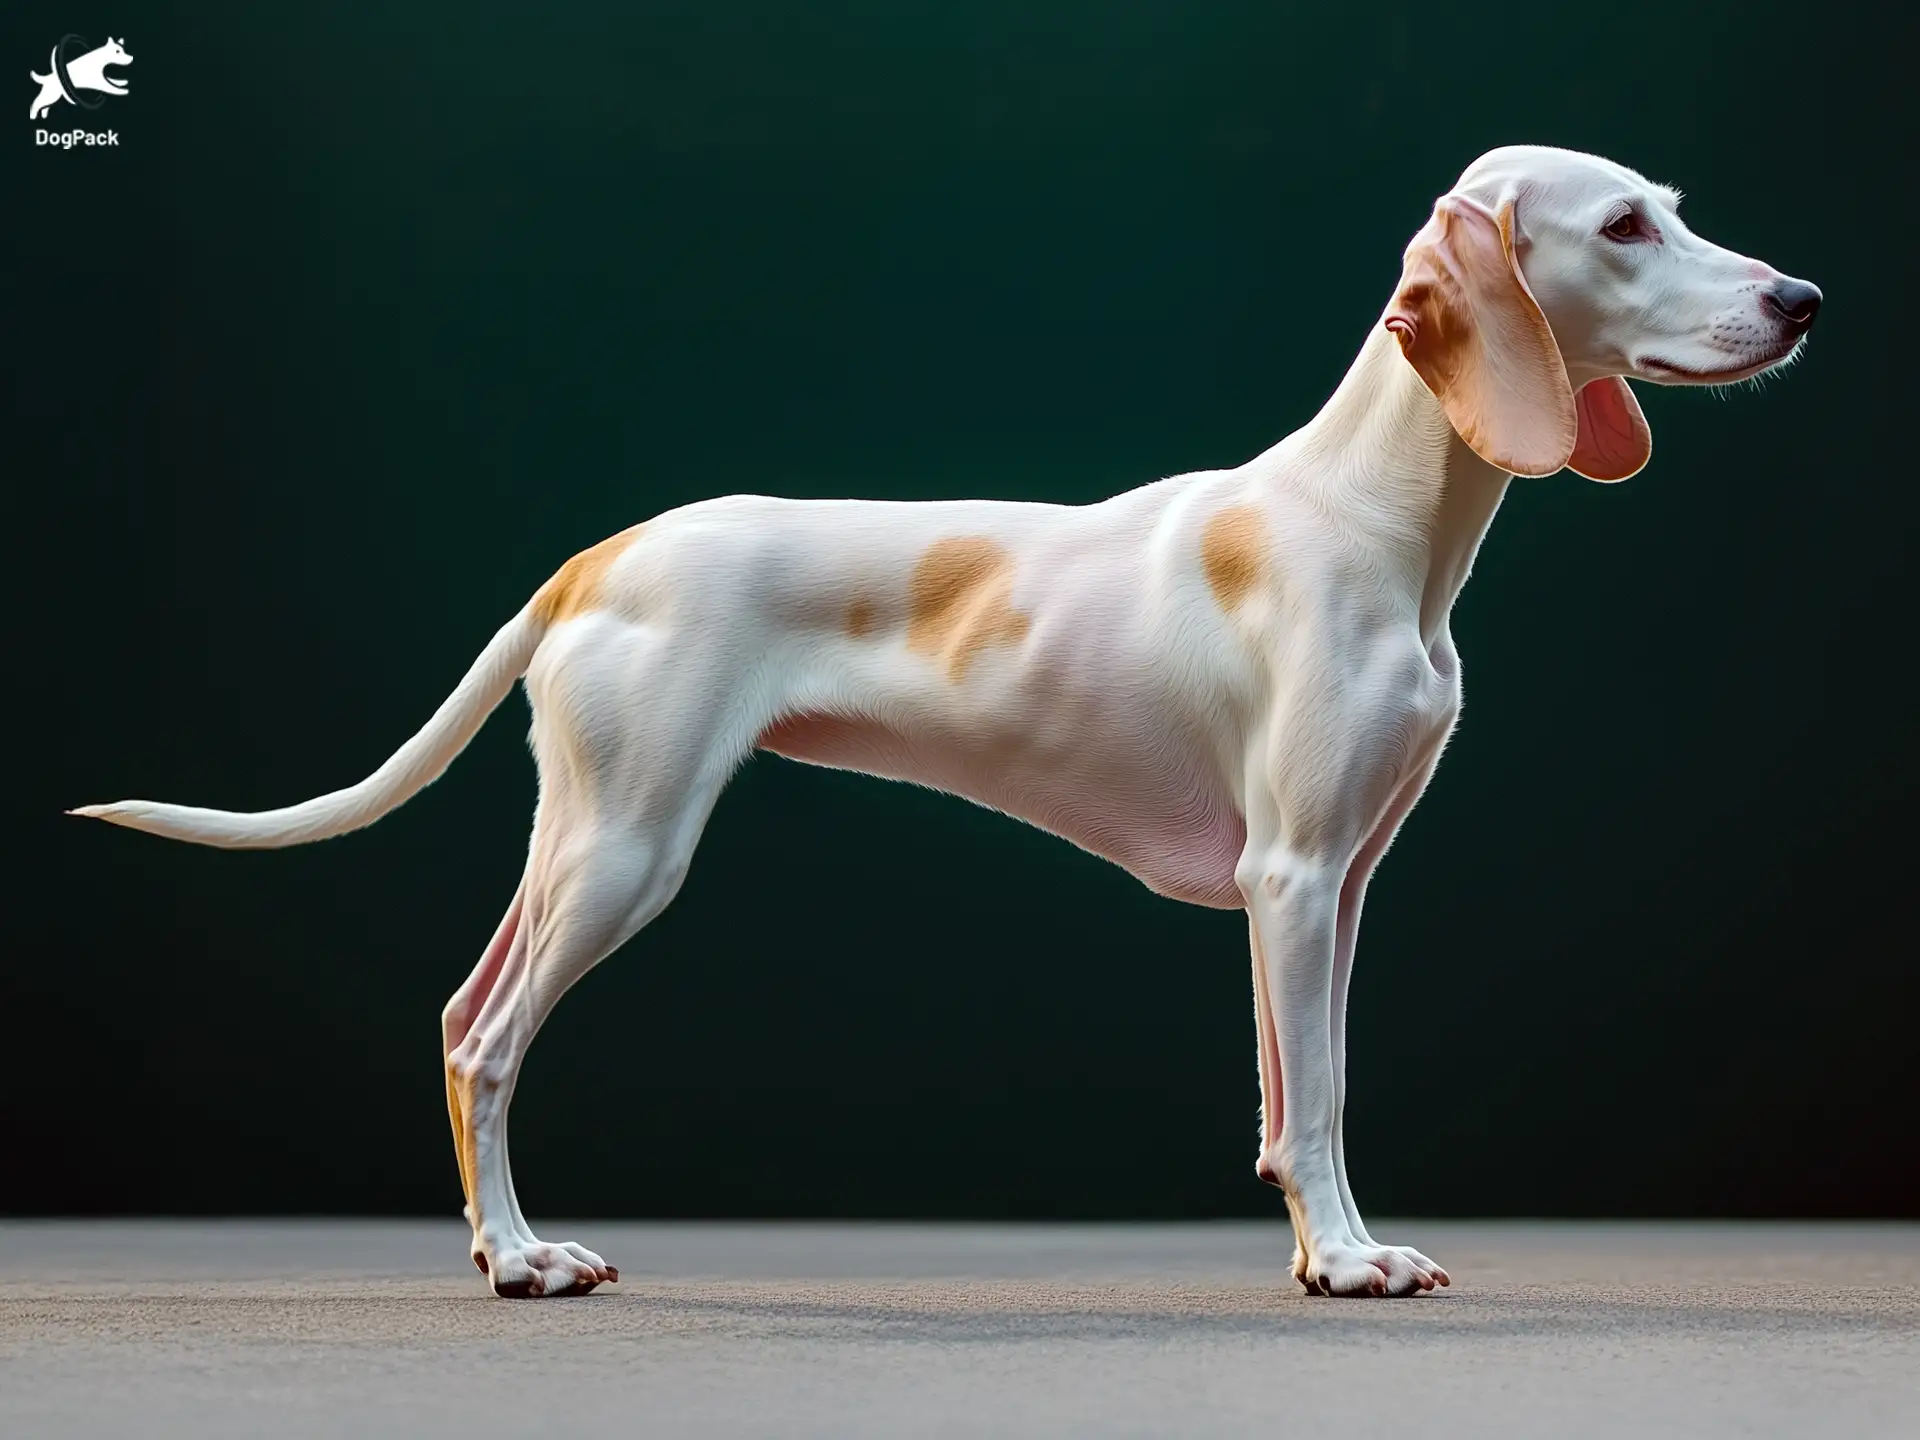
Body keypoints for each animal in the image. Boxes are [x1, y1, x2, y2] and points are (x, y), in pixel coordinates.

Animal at [71, 144, 1812, 1297]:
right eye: (1627, 224)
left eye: (1677, 206)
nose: (1799, 297)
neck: (1370, 517)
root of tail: (600, 554)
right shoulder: (1297, 877)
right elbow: (1318, 1097)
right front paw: (1346, 1258)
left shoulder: (1338, 888)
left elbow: (1290, 1088)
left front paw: (1316, 1234)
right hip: (633, 851)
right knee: (494, 1043)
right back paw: (515, 1257)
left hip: (582, 836)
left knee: (458, 1014)